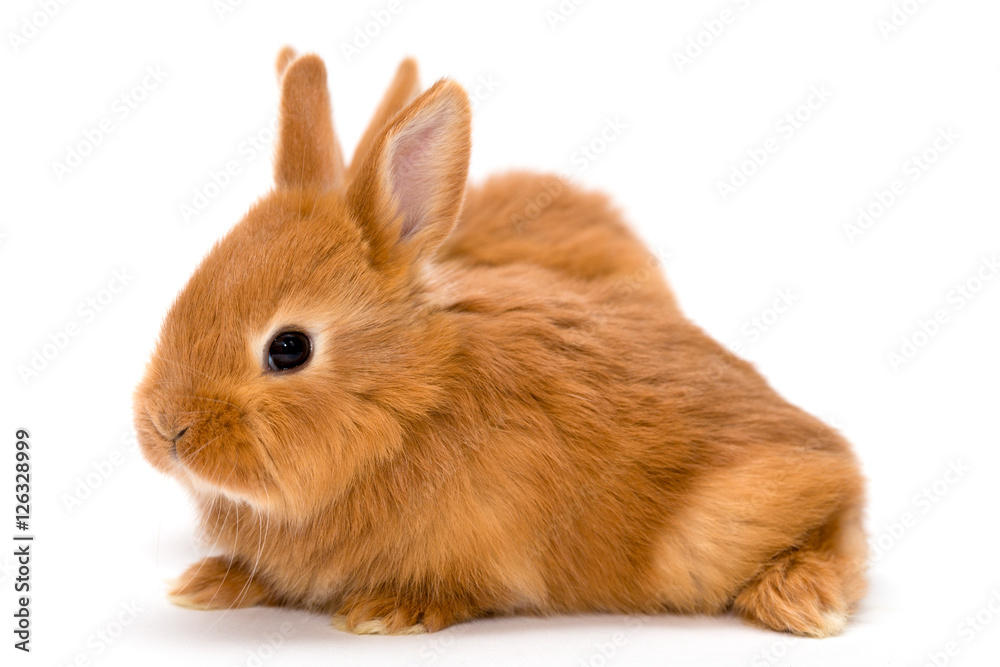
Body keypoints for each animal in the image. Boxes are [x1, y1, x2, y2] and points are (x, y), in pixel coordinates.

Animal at [134, 47, 867, 638]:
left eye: (289, 348)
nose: (166, 428)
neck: (410, 408)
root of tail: (832, 454)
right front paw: (212, 582)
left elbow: (463, 587)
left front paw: (389, 611)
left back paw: (802, 599)